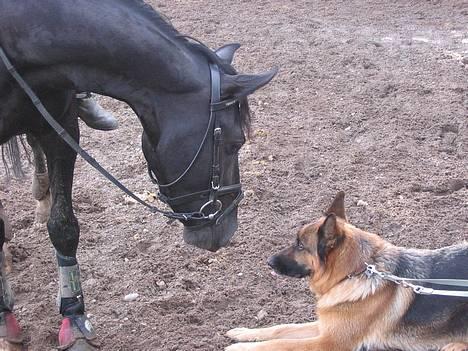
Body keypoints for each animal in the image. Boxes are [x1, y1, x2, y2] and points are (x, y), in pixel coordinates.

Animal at [0, 1, 276, 350]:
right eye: (235, 142)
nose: (228, 230)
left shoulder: (59, 125)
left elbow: (63, 226)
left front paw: (74, 320)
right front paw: (7, 321)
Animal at [225, 192, 466, 351]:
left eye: (300, 245)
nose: (268, 261)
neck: (355, 273)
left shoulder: (329, 342)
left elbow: (282, 343)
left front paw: (240, 348)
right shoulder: (326, 327)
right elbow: (281, 329)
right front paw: (243, 333)